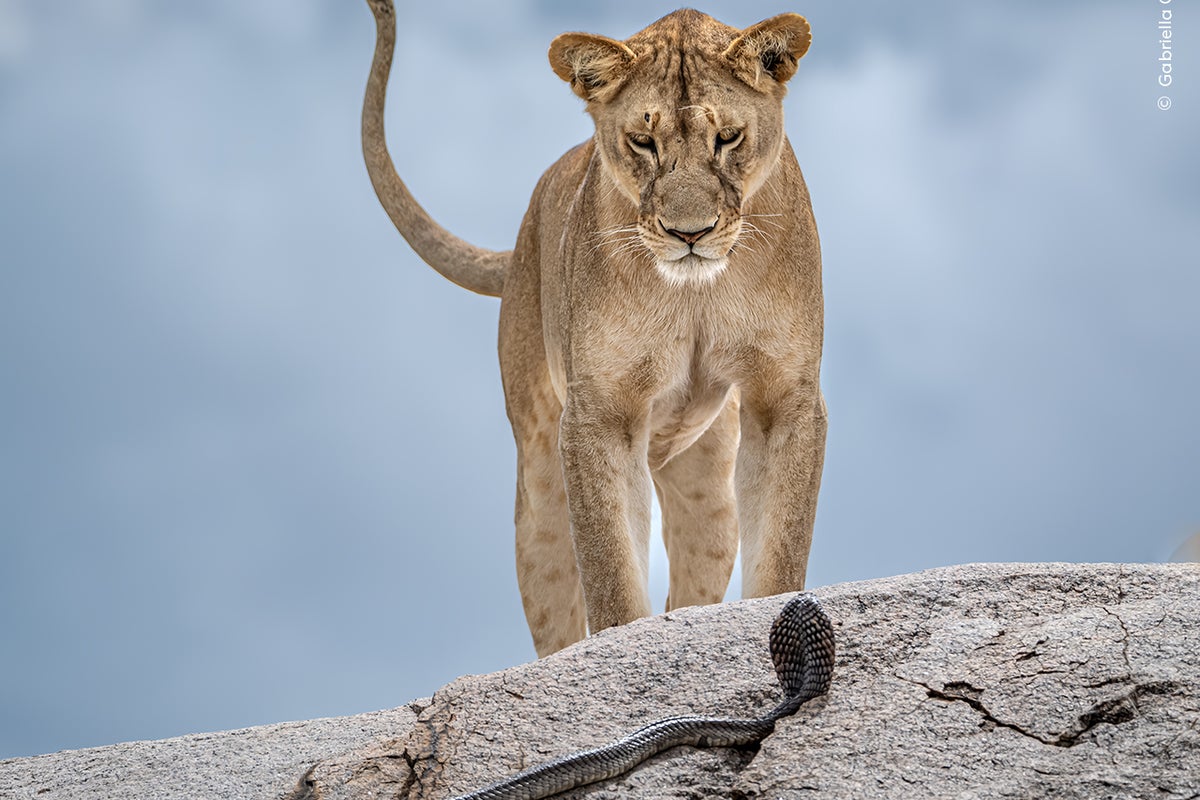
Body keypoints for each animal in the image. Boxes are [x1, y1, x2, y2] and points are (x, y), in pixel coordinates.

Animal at [363, 0, 826, 656]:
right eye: (643, 141)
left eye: (728, 137)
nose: (690, 233)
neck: (695, 294)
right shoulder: (600, 413)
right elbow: (610, 570)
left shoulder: (784, 399)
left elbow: (782, 547)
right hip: (538, 487)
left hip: (708, 493)